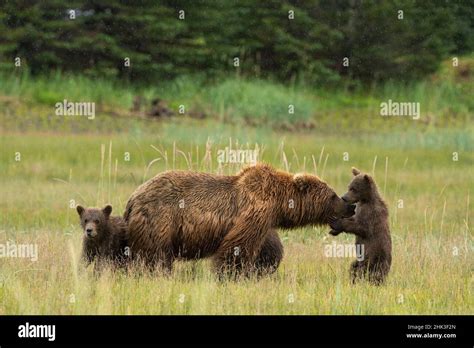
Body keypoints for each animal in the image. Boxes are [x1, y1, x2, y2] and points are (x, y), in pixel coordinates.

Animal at [124, 163, 354, 278]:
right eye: (333, 195)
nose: (349, 206)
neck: (279, 202)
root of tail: (133, 197)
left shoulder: (264, 221)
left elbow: (269, 246)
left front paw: (263, 267)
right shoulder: (253, 212)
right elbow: (237, 247)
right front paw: (231, 274)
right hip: (160, 218)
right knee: (156, 255)